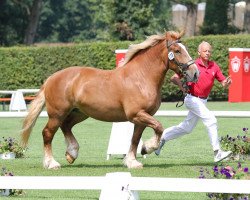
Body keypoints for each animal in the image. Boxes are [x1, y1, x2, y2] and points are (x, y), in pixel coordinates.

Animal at [21, 31, 199, 169]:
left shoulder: (141, 118)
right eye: (177, 50)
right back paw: (51, 163)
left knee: (66, 126)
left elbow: (135, 139)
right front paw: (147, 148)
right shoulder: (137, 114)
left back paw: (72, 153)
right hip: (57, 114)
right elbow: (159, 127)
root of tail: (51, 78)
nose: (195, 73)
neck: (141, 77)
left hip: (79, 113)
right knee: (48, 133)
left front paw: (132, 161)